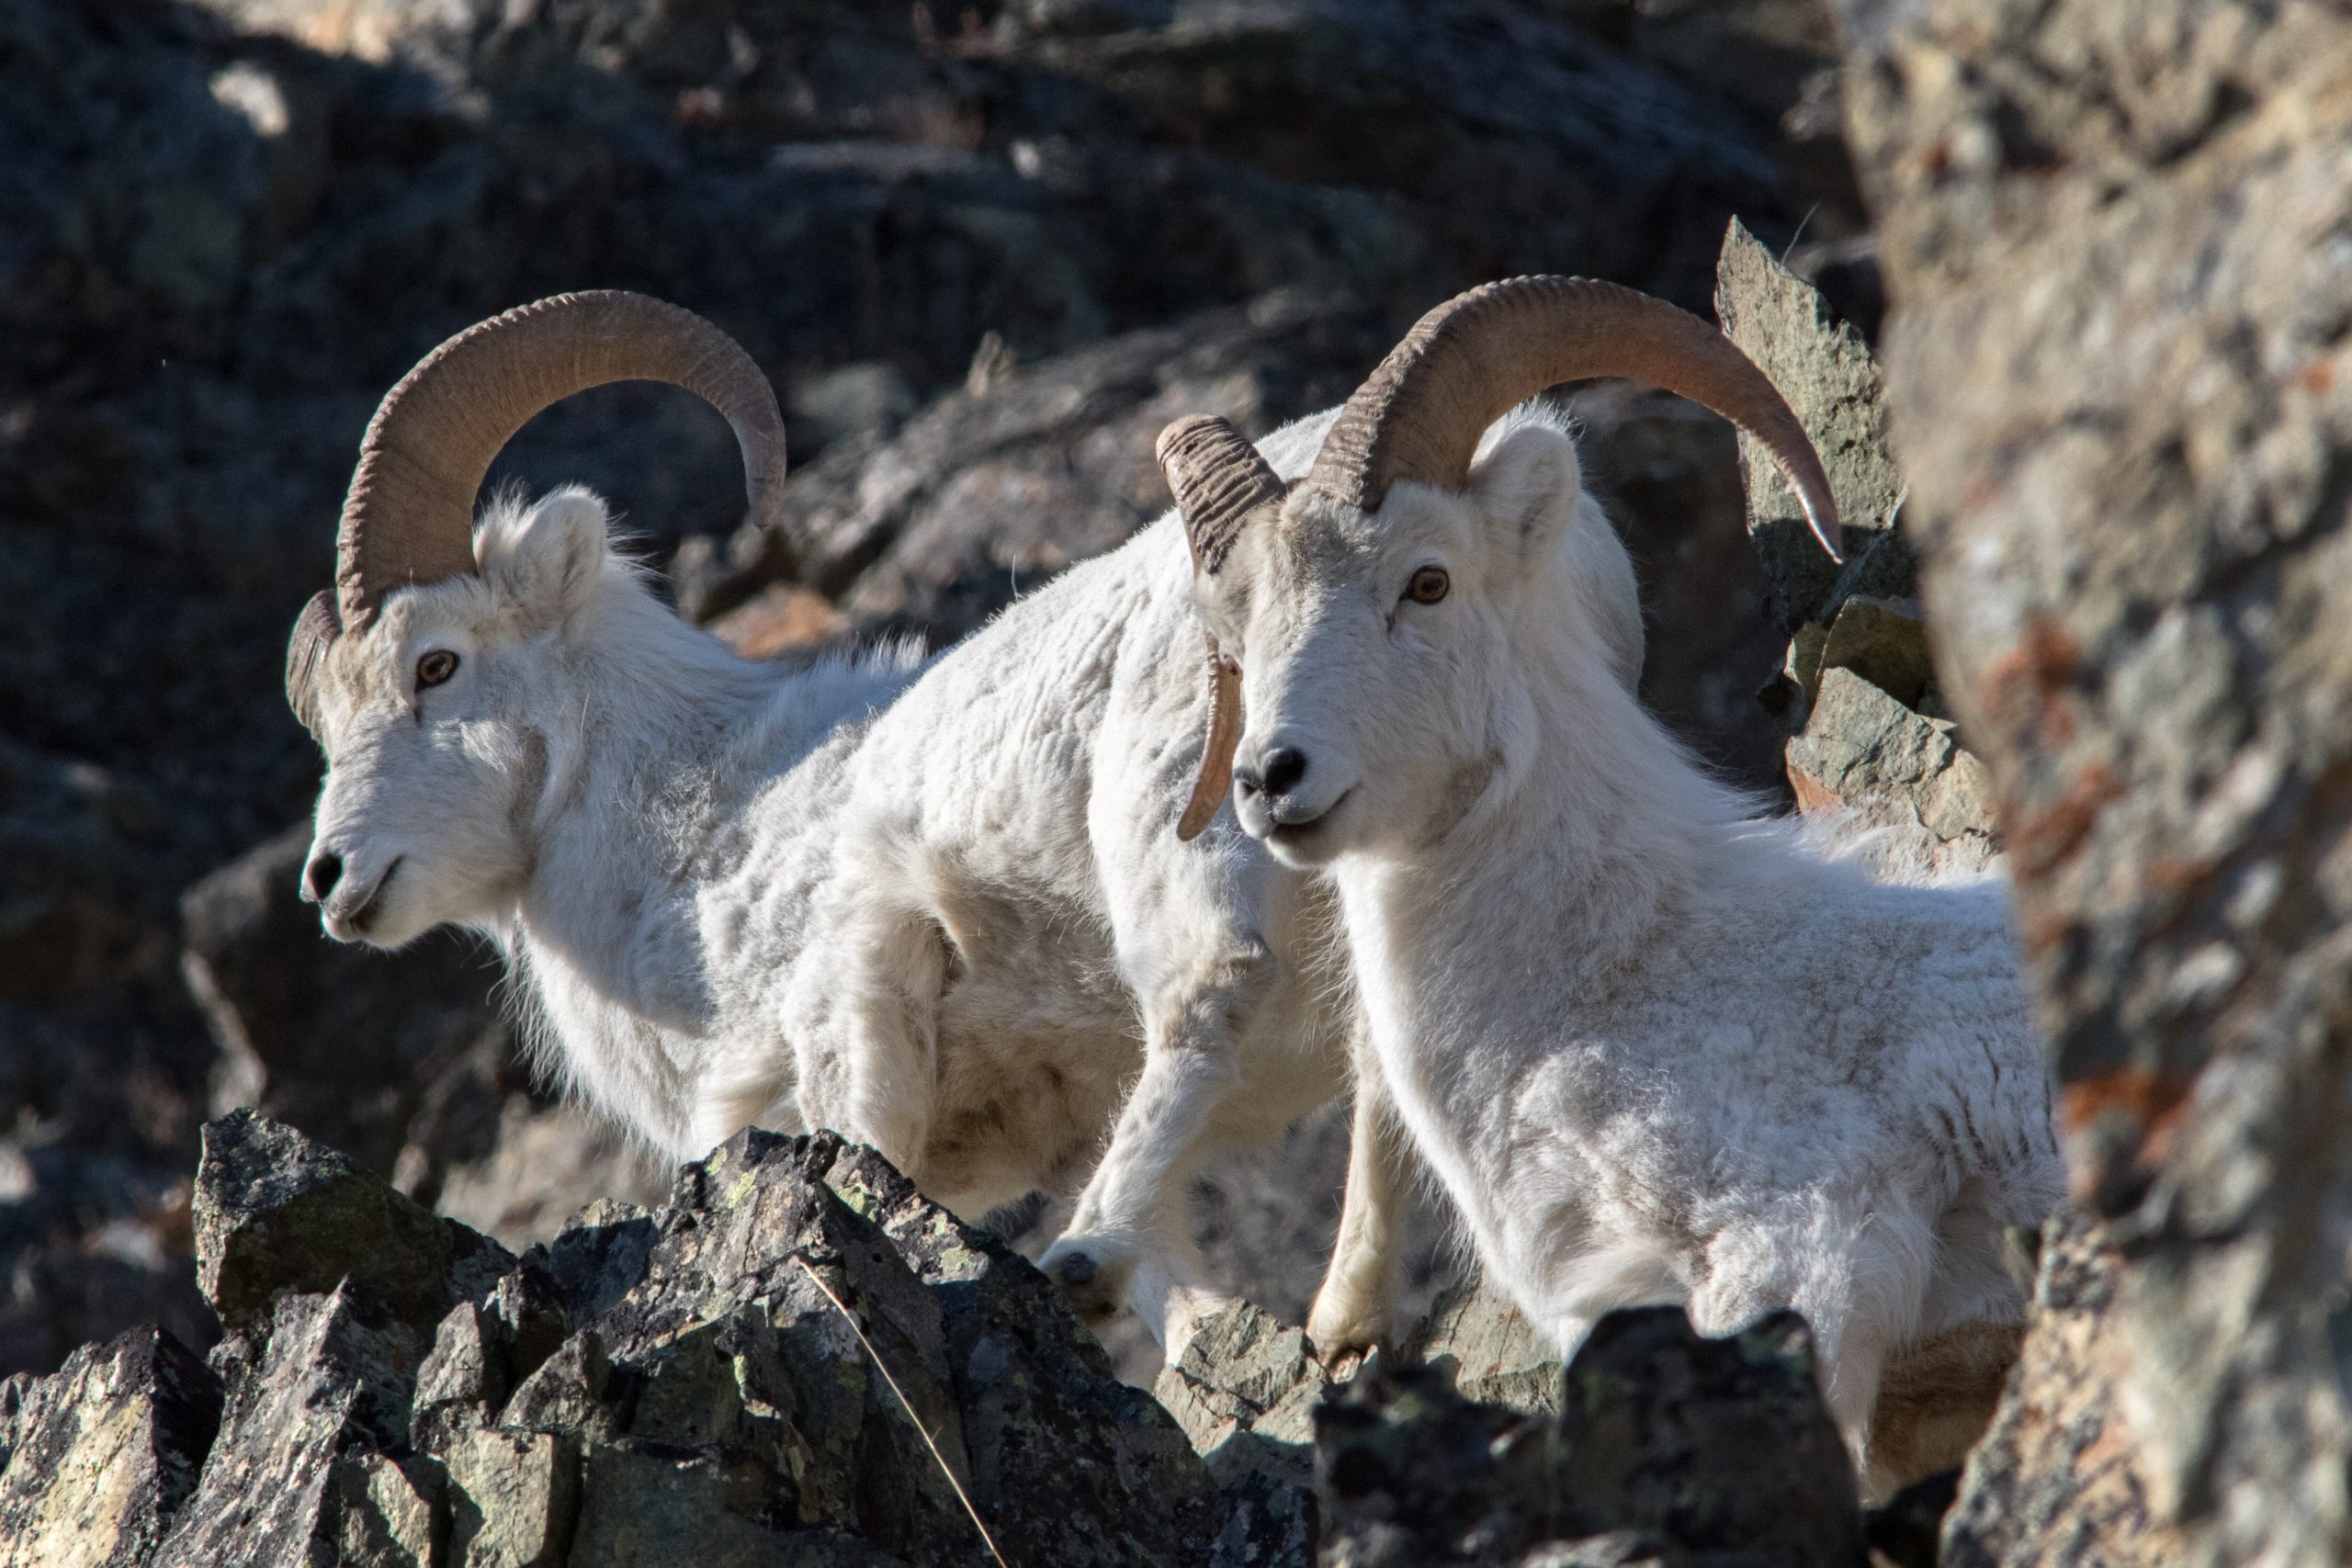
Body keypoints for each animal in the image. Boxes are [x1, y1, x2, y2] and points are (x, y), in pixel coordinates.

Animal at [284, 289, 1648, 1358]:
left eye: (435, 664)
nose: (333, 880)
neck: (701, 836)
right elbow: (1189, 1284)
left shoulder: (853, 1029)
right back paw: (1340, 1321)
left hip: (1198, 837)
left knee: (1217, 992)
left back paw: (1093, 1262)